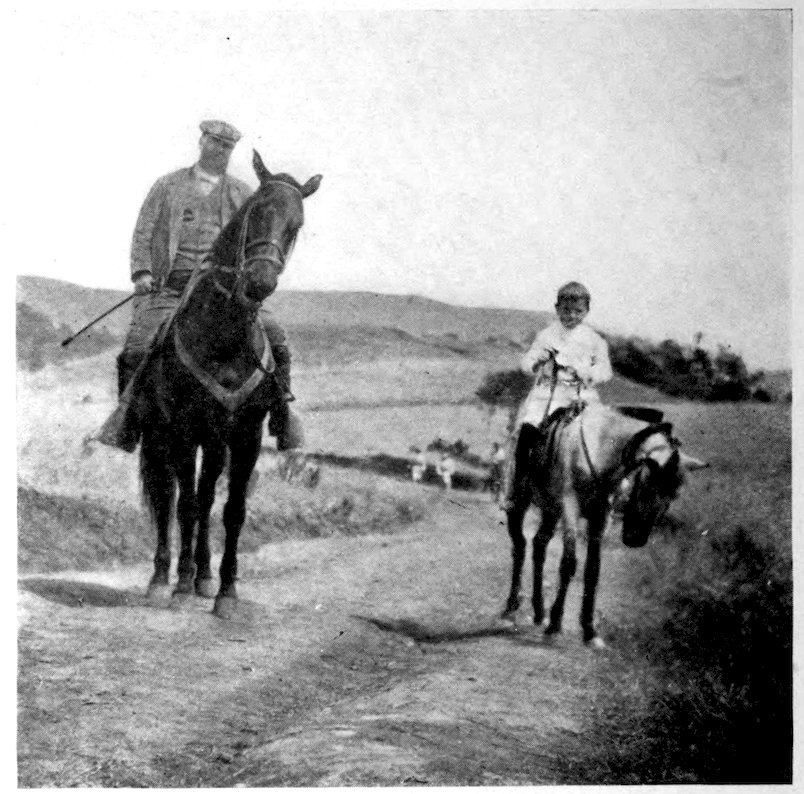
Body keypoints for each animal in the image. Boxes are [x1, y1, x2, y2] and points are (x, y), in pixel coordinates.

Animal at [135, 150, 321, 617]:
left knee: (206, 500)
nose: (260, 283)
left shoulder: (245, 433)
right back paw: (164, 578)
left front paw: (226, 591)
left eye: (296, 225)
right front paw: (179, 586)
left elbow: (232, 510)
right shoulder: (185, 429)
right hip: (163, 436)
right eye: (256, 212)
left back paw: (202, 576)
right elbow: (184, 505)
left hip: (216, 440)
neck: (223, 335)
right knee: (168, 497)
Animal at [502, 399, 707, 648]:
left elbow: (593, 570)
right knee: (519, 545)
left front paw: (589, 631)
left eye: (674, 496)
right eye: (648, 486)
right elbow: (568, 564)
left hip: (551, 510)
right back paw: (511, 609)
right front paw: (555, 624)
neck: (600, 447)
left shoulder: (601, 517)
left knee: (539, 545)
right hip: (521, 501)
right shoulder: (570, 509)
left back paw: (539, 611)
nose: (636, 538)